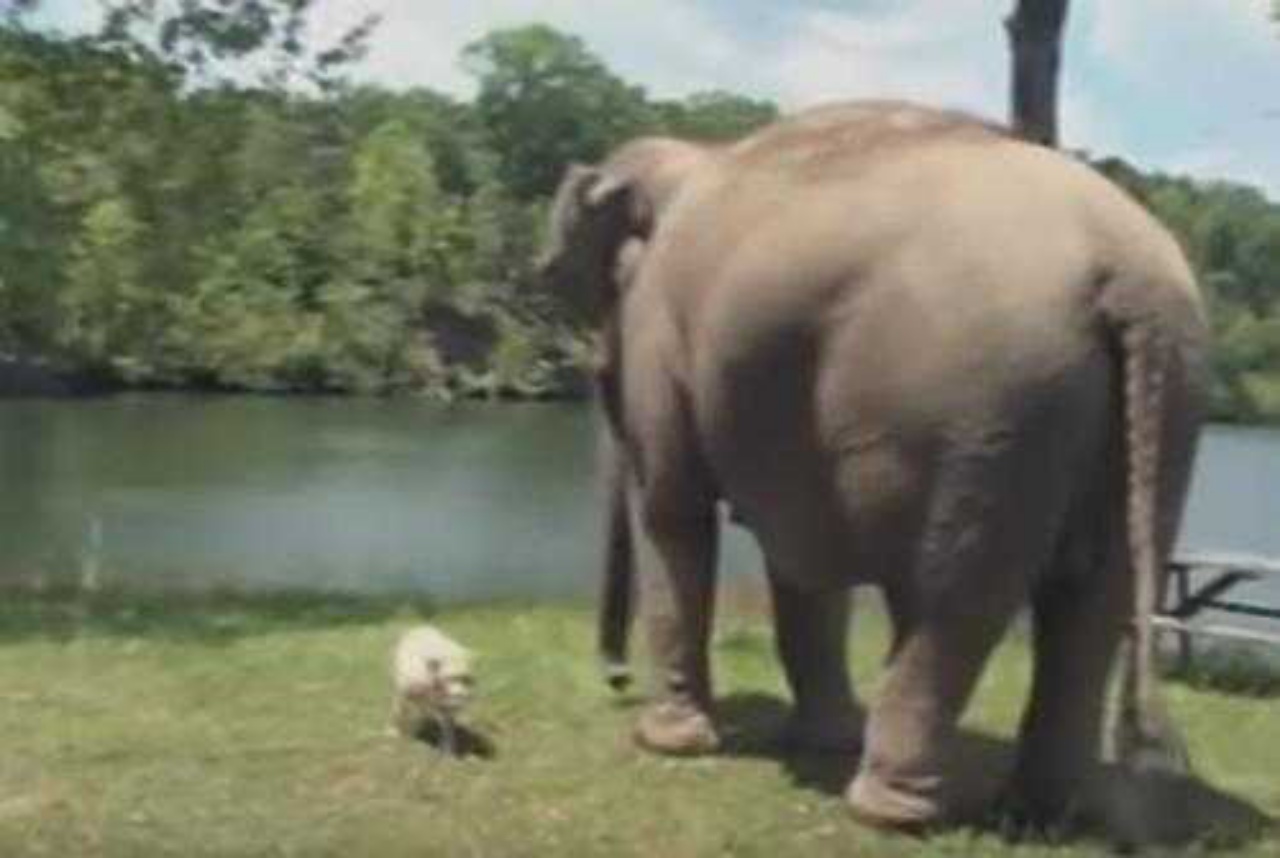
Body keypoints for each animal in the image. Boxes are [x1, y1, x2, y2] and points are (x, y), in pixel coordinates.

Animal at [389, 624, 476, 752]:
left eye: (465, 678)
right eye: (448, 678)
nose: (459, 696)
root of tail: (421, 627)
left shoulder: (444, 704)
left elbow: (447, 726)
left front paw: (447, 750)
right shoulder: (407, 692)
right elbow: (401, 711)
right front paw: (396, 732)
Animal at [540, 101, 1208, 834]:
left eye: (566, 285)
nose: (615, 680)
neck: (687, 160)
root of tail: (1129, 275)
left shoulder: (660, 332)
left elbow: (671, 510)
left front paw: (666, 743)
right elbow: (799, 558)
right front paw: (823, 739)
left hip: (987, 411)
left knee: (949, 601)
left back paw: (888, 811)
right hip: (1166, 397)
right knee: (1092, 606)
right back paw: (1034, 815)